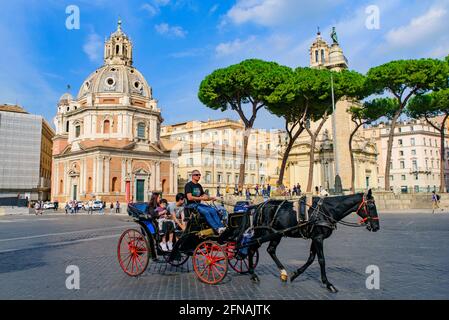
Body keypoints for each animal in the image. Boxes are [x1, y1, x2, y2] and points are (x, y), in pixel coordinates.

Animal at [245, 190, 378, 292]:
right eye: (371, 206)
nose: (376, 227)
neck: (326, 210)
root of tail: (259, 206)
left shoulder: (315, 238)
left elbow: (311, 258)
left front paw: (295, 274)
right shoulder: (318, 238)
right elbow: (321, 260)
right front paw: (328, 284)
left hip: (277, 234)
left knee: (270, 250)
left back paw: (283, 273)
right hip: (263, 233)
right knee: (251, 248)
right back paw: (253, 274)